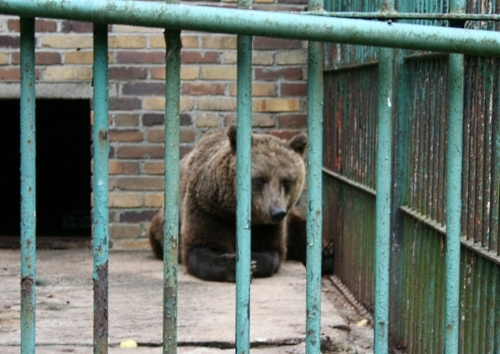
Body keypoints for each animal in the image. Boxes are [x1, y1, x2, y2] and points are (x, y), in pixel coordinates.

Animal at [148, 126, 334, 280]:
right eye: (260, 179)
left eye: (287, 181)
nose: (277, 211)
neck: (231, 211)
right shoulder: (206, 208)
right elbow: (200, 248)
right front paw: (233, 265)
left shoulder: (268, 226)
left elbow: (272, 249)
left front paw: (253, 261)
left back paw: (327, 253)